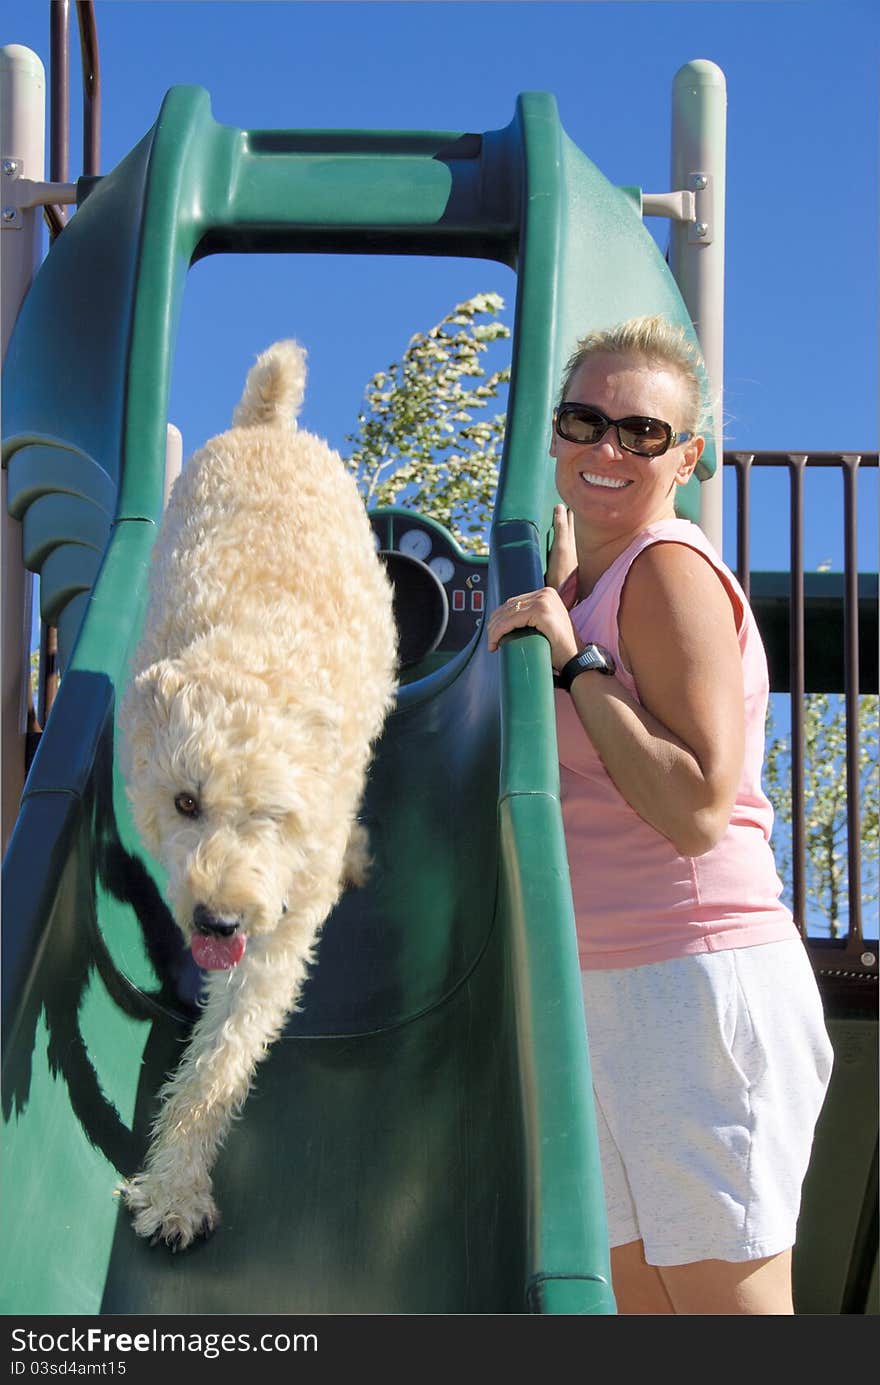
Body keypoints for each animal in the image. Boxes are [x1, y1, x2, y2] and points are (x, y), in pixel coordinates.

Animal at [115, 340, 396, 1252]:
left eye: (274, 813)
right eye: (185, 803)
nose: (216, 921)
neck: (253, 650)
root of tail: (269, 421)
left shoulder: (283, 926)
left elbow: (224, 1052)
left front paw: (173, 1187)